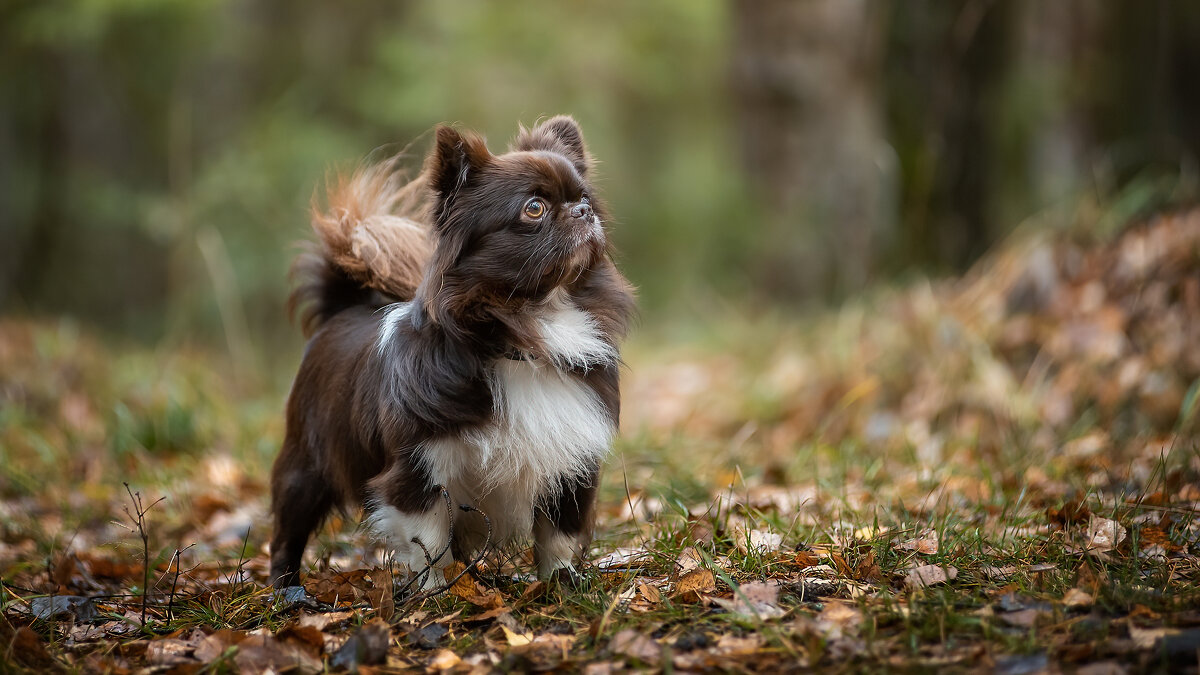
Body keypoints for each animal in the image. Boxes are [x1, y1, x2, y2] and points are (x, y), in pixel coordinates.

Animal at [266, 117, 633, 588]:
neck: (523, 337)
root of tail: (343, 307)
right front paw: (436, 595)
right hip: (307, 467)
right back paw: (286, 589)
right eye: (533, 208)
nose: (583, 212)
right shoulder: (419, 473)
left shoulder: (571, 466)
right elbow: (429, 545)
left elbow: (560, 538)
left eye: (584, 199)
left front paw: (562, 587)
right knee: (287, 534)